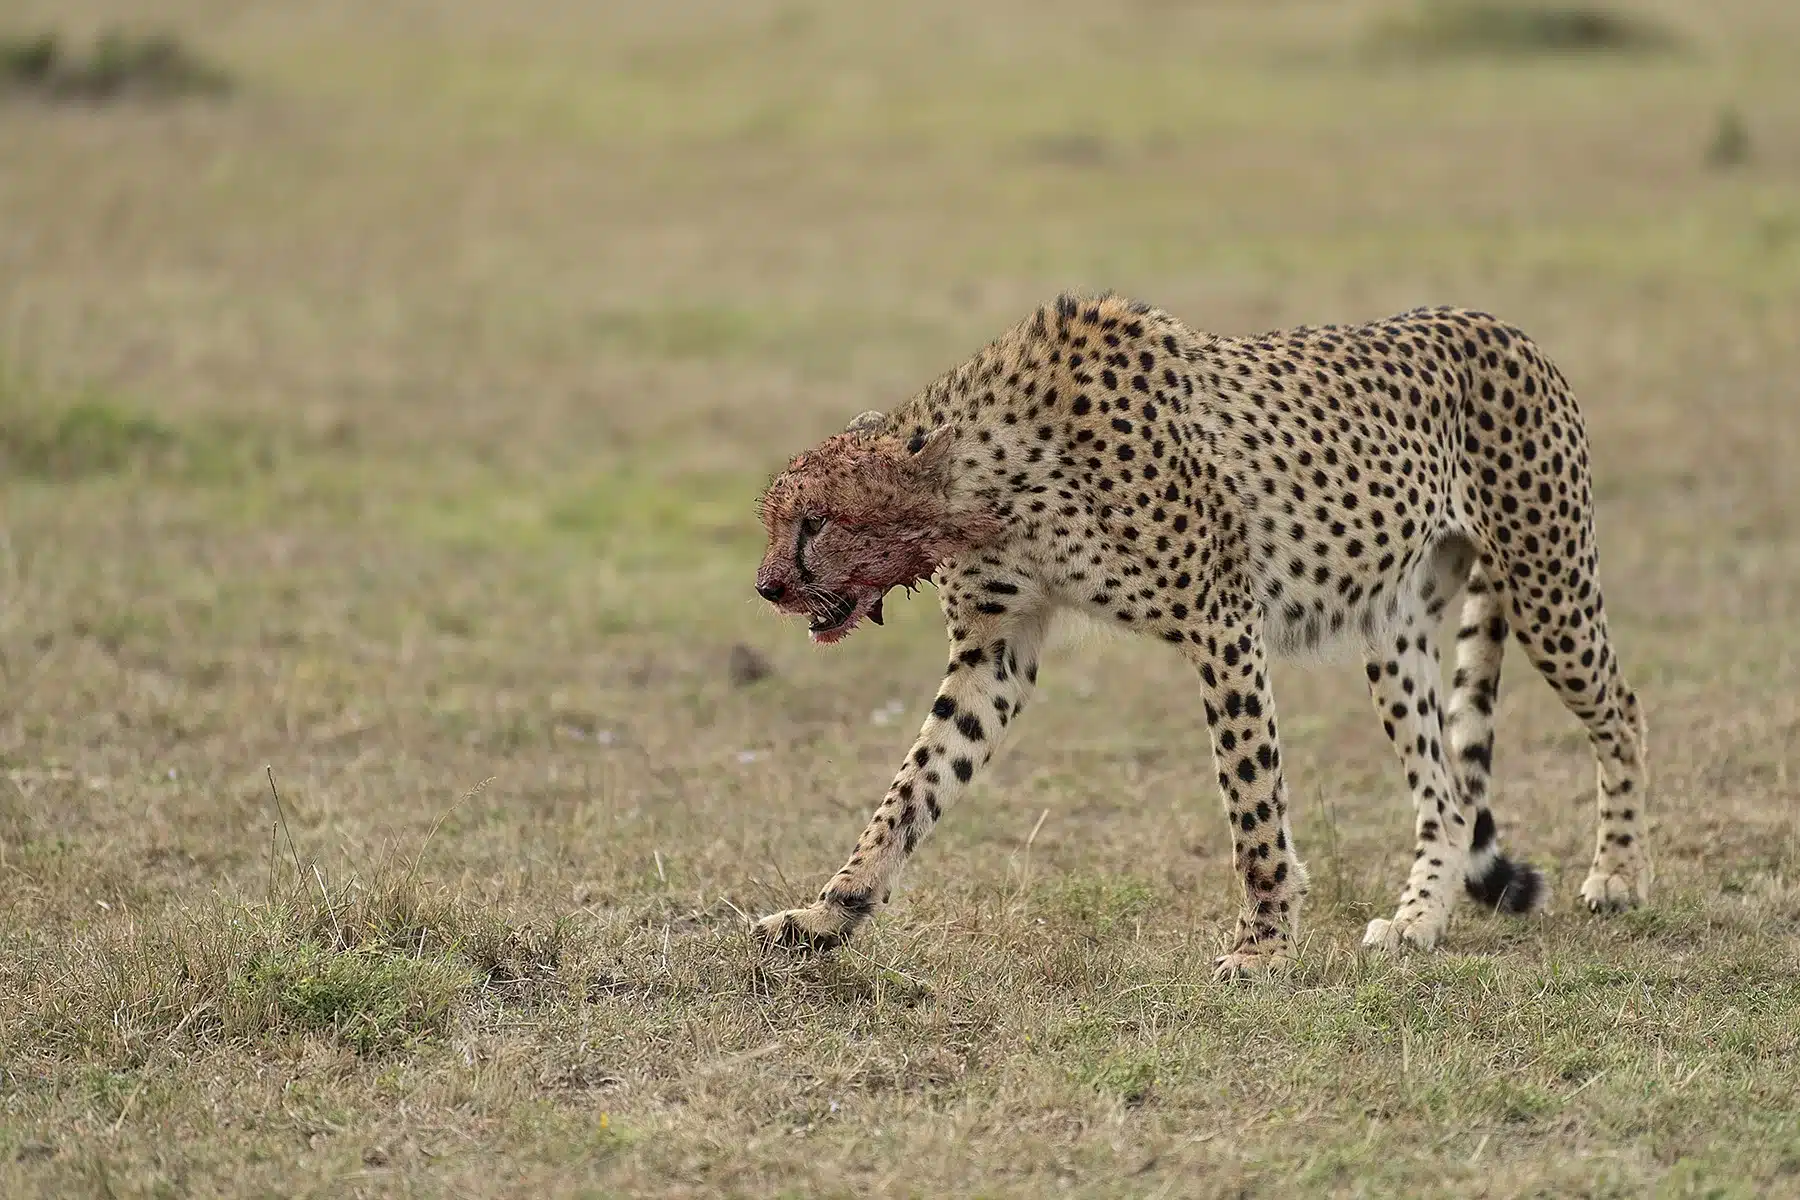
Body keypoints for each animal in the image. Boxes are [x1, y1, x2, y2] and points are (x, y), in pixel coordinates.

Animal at [752, 293, 1648, 978]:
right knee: (1448, 790)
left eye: (814, 521)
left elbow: (1252, 803)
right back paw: (1418, 919)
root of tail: (1494, 322)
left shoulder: (1222, 624)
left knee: (1623, 712)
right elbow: (911, 790)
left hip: (1548, 584)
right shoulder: (993, 654)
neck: (986, 480)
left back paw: (1619, 874)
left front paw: (1263, 947)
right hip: (1395, 630)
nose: (766, 587)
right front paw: (825, 915)